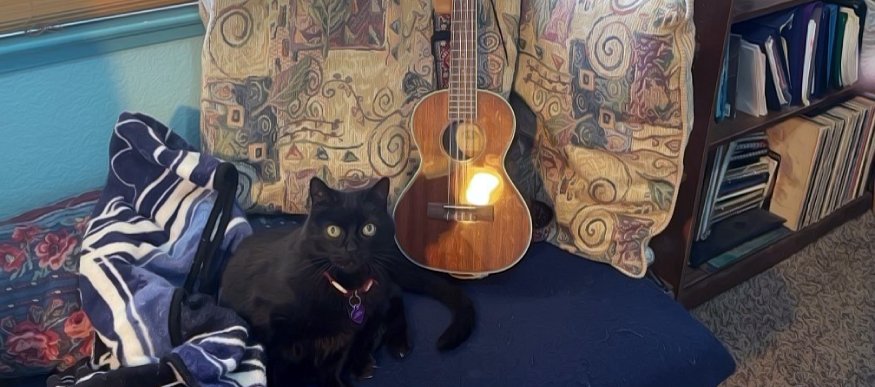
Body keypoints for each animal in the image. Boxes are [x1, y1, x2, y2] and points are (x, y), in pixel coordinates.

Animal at [222, 177, 476, 386]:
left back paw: (388, 347)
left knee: (393, 299)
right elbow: (274, 370)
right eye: (333, 230)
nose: (352, 248)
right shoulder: (271, 333)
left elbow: (333, 369)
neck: (346, 288)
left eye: (369, 229)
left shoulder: (342, 341)